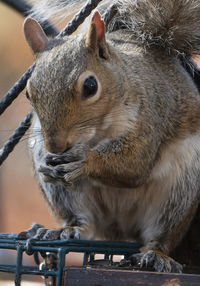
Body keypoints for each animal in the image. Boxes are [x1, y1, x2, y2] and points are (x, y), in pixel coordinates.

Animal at [18, 0, 200, 272]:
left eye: (90, 86)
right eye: (29, 93)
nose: (56, 146)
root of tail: (120, 230)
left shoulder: (150, 118)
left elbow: (134, 165)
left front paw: (86, 160)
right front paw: (48, 165)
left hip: (181, 189)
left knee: (162, 232)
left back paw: (155, 254)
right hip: (65, 194)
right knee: (82, 221)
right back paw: (64, 230)